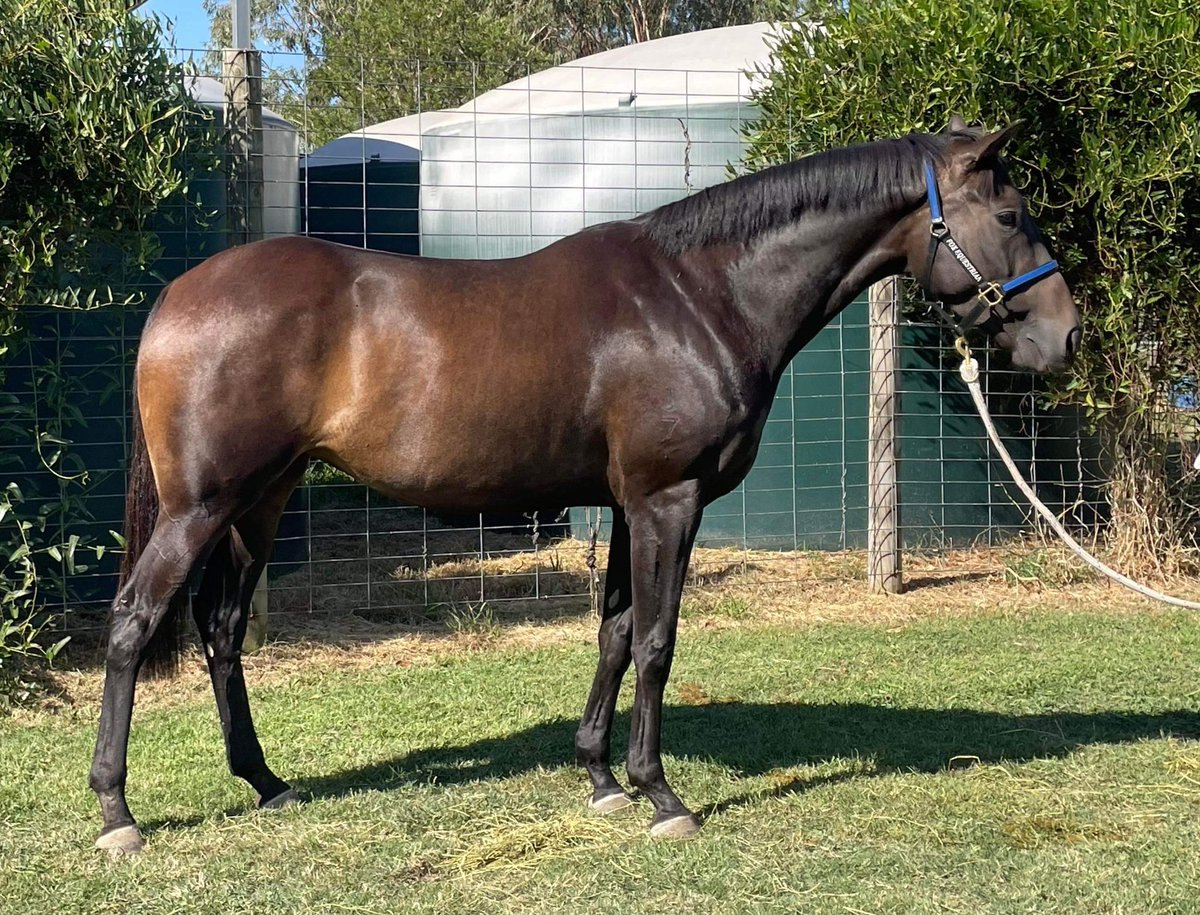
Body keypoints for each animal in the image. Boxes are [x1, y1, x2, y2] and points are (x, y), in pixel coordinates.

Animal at [89, 119, 1081, 854]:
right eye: (1012, 212)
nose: (1064, 335)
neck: (701, 294)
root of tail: (179, 293)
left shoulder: (628, 503)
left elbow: (613, 633)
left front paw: (602, 778)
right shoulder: (668, 499)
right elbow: (658, 642)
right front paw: (661, 793)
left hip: (262, 500)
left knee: (221, 628)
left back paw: (265, 782)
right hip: (201, 507)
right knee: (135, 622)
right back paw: (117, 811)